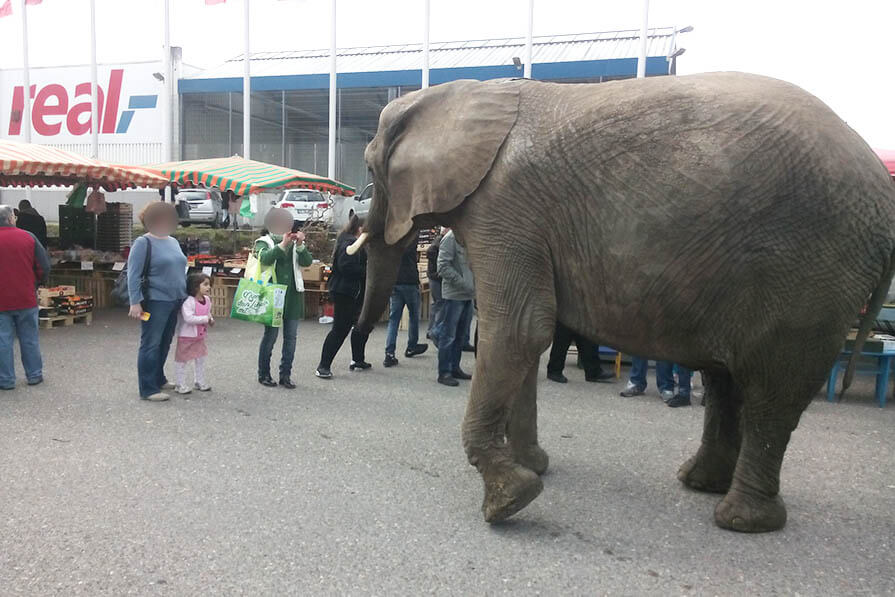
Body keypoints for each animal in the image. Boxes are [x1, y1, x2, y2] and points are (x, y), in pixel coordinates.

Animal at [348, 72, 895, 532]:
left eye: (372, 165)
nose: (360, 358)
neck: (459, 93)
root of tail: (883, 195)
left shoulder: (505, 207)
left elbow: (519, 329)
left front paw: (510, 500)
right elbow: (525, 335)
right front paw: (533, 468)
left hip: (809, 267)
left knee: (770, 390)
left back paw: (740, 520)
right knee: (727, 380)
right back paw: (701, 484)